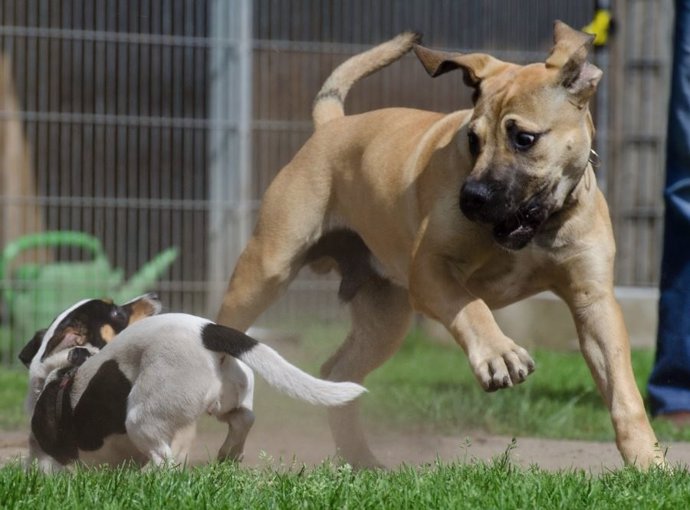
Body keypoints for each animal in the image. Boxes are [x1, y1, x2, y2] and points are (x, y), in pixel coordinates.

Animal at [21, 298, 366, 470]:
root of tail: (208, 330)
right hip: (223, 397)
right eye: (118, 312)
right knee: (243, 418)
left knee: (165, 463)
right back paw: (228, 454)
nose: (153, 296)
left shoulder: (50, 460)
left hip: (141, 417)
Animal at [216, 21, 668, 468]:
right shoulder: (431, 270)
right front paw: (499, 354)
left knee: (337, 372)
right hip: (265, 270)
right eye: (473, 139)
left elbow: (623, 390)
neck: (540, 228)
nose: (471, 198)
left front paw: (648, 461)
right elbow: (472, 306)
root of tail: (332, 125)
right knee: (228, 342)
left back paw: (360, 458)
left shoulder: (593, 302)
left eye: (523, 138)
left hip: (385, 317)